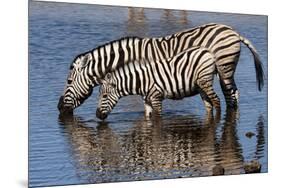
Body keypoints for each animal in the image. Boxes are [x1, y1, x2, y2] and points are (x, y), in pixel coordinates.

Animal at [57, 23, 262, 115]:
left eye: (68, 81)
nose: (59, 108)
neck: (129, 58)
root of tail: (232, 31)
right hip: (226, 71)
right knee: (234, 93)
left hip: (224, 69)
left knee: (229, 95)